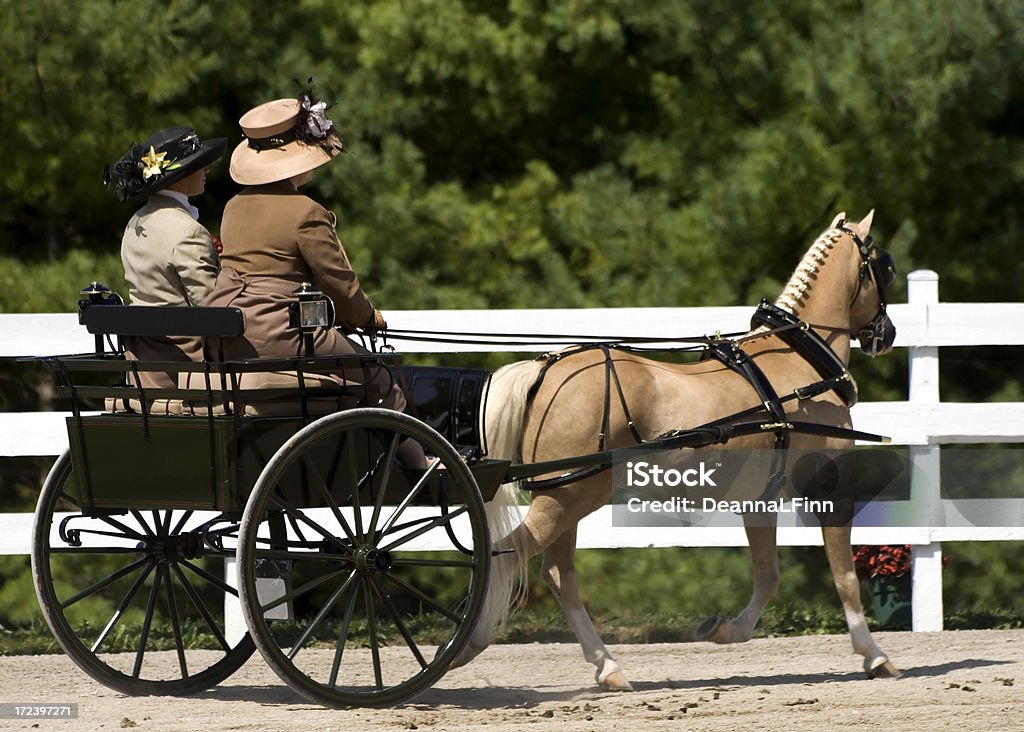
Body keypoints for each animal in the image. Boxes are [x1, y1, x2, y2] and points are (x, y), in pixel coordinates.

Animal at [460, 210, 901, 687]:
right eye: (886, 267)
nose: (888, 334)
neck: (800, 361)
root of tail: (545, 371)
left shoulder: (759, 500)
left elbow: (768, 576)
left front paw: (724, 629)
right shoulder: (829, 488)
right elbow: (844, 576)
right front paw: (874, 654)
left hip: (566, 498)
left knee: (558, 574)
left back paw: (607, 666)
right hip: (567, 498)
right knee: (508, 555)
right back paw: (471, 642)